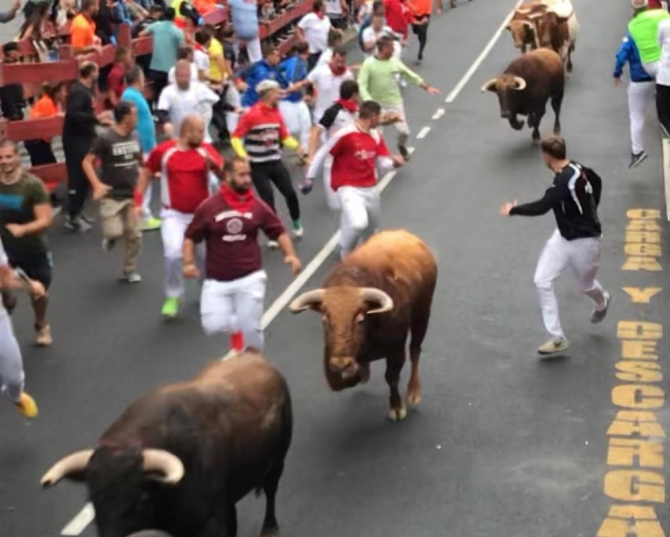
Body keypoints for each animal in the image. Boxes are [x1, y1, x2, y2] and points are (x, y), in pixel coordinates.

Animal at [290, 228, 438, 420]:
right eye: (325, 319)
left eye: (360, 318)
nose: (341, 363)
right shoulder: (330, 354)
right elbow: (336, 381)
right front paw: (359, 372)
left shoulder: (396, 349)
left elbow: (392, 377)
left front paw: (397, 407)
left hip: (422, 315)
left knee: (415, 350)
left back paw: (414, 392)